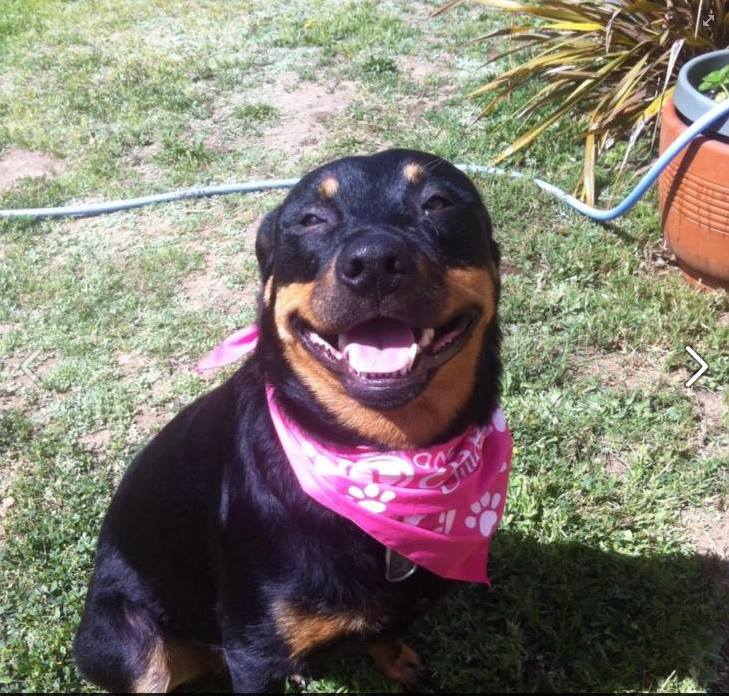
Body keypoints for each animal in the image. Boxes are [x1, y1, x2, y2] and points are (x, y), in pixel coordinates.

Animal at [75, 147, 506, 692]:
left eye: (438, 203)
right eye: (310, 220)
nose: (373, 263)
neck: (383, 462)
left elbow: (386, 630)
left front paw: (398, 661)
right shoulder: (254, 650)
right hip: (126, 639)